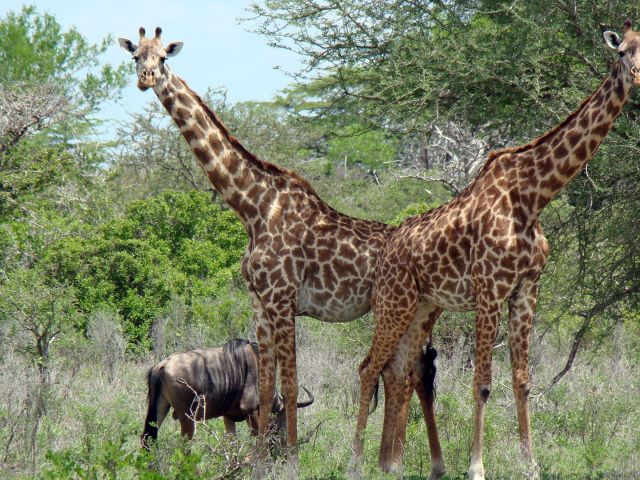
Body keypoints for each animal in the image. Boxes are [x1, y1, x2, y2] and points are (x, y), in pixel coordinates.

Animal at [116, 27, 444, 480]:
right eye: (136, 57)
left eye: (163, 57)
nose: (146, 78)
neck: (253, 207)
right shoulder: (259, 302)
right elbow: (267, 385)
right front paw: (257, 461)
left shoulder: (283, 299)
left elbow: (288, 383)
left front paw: (290, 460)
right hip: (415, 313)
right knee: (406, 373)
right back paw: (390, 462)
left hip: (399, 311)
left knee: (406, 373)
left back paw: (388, 462)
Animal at [350, 20, 640, 478]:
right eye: (625, 51)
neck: (533, 196)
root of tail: (386, 249)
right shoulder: (489, 290)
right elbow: (482, 383)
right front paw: (477, 467)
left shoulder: (525, 289)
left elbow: (523, 380)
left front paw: (532, 464)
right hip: (393, 302)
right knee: (367, 369)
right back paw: (356, 462)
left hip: (422, 307)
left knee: (398, 371)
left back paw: (391, 466)